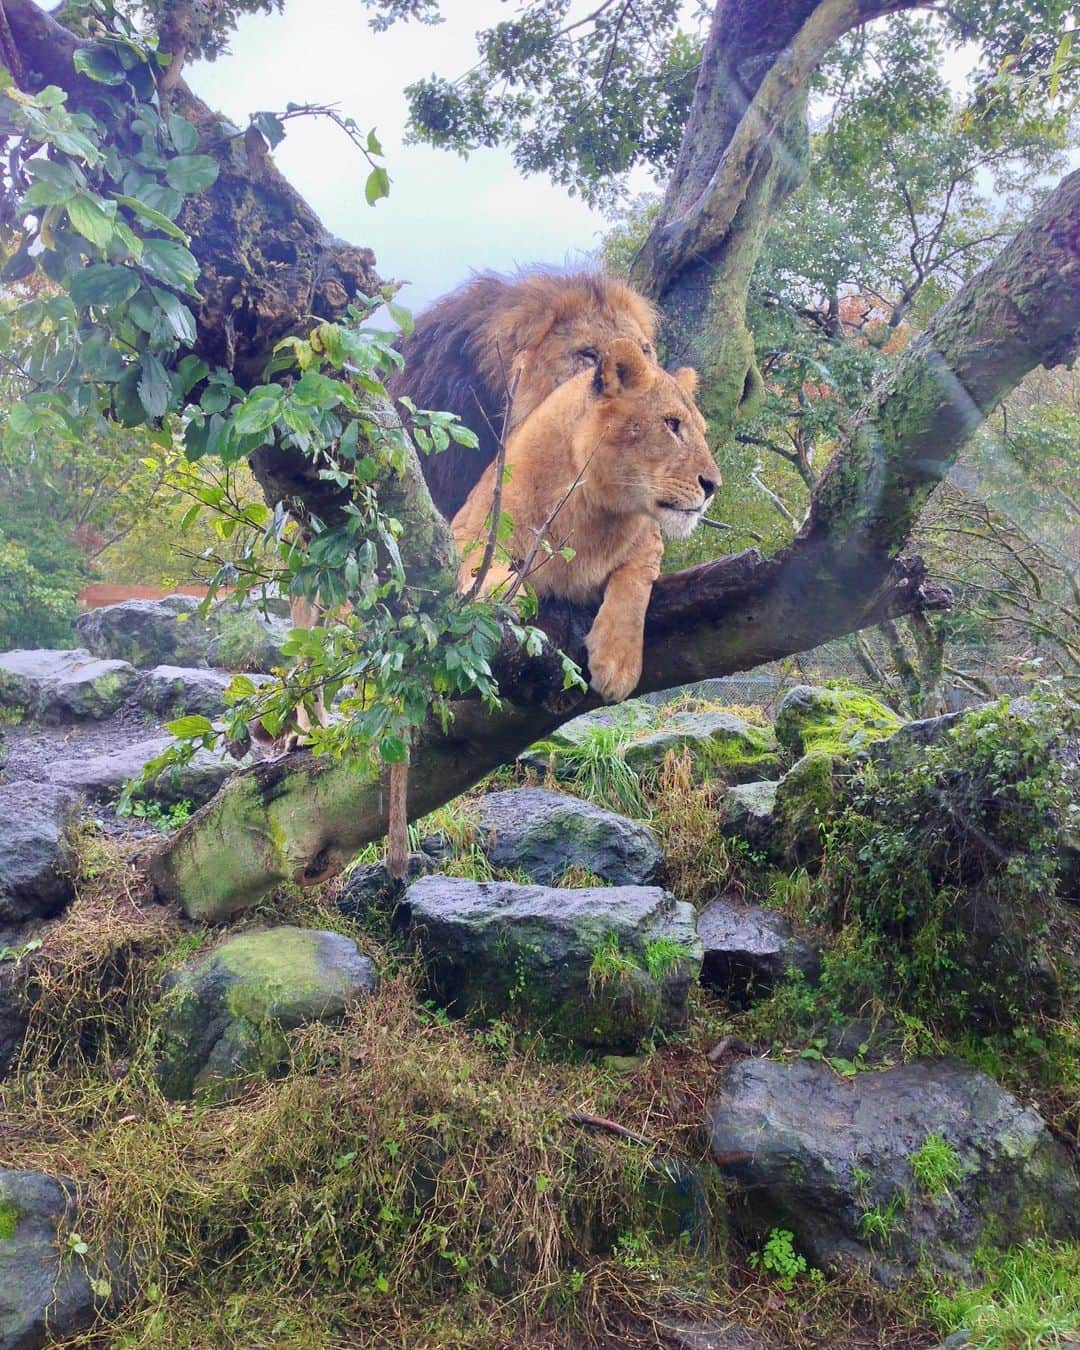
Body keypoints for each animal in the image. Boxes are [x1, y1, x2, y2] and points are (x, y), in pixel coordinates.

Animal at [453, 337, 718, 707]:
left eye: (702, 432)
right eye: (672, 424)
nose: (713, 486)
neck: (591, 506)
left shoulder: (650, 546)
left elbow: (633, 587)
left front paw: (619, 664)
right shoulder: (466, 527)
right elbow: (479, 559)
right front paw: (497, 589)